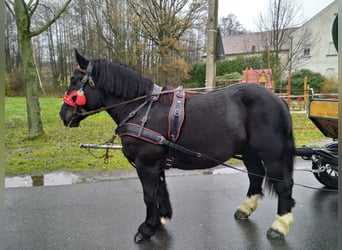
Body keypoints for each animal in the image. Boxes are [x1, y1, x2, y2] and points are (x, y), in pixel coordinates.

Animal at [60, 50, 296, 242]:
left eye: (74, 80)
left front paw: (147, 229)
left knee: (284, 185)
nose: (64, 115)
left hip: (272, 155)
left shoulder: (146, 165)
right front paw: (161, 218)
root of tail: (278, 100)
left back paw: (279, 225)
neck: (142, 109)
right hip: (249, 152)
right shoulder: (156, 165)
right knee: (256, 176)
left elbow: (149, 195)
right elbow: (160, 191)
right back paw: (245, 209)